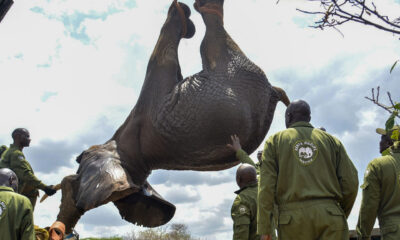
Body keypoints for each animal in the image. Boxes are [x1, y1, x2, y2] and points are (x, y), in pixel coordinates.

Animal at [50, 0, 290, 236]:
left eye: (83, 157)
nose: (78, 156)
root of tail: (272, 93)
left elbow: (158, 58)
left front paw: (181, 15)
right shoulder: (156, 102)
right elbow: (162, 57)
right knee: (210, 41)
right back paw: (202, 10)